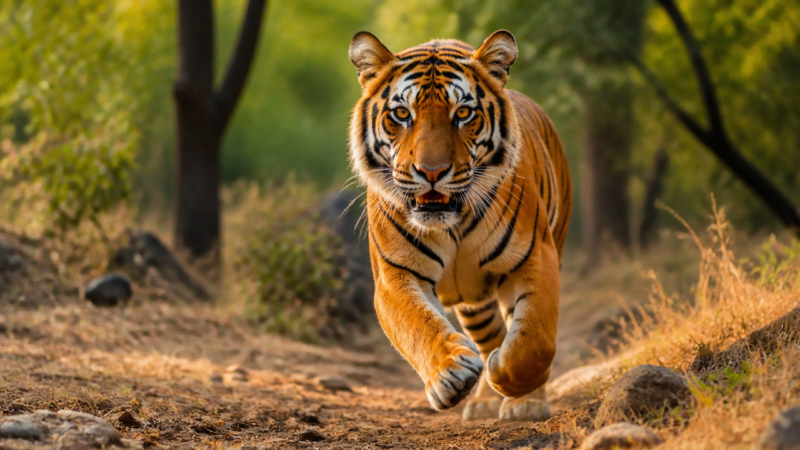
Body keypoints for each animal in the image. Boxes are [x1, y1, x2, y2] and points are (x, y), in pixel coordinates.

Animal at [347, 30, 572, 421]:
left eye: (463, 113)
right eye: (402, 114)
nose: (432, 172)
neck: (450, 223)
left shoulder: (536, 257)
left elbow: (535, 340)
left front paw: (513, 383)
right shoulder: (395, 276)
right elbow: (417, 325)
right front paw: (451, 373)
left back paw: (522, 401)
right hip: (473, 304)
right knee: (491, 334)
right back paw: (482, 399)